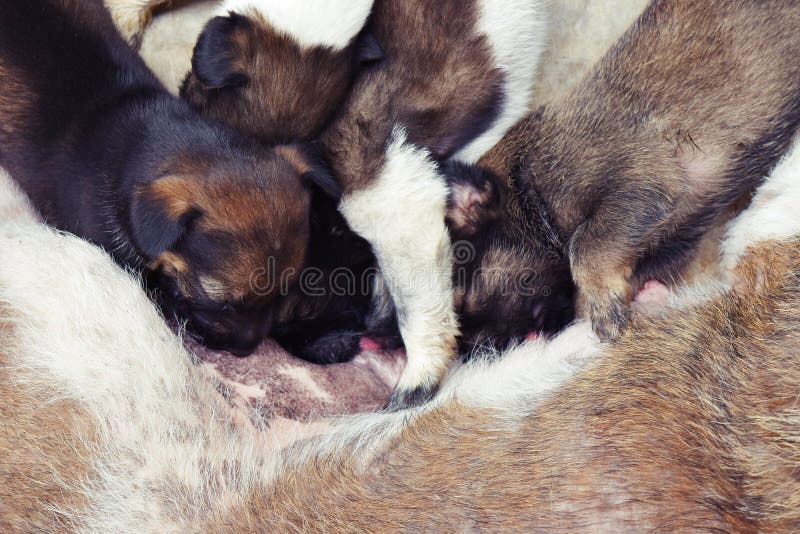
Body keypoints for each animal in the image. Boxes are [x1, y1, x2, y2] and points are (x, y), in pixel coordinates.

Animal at [444, 0, 800, 346]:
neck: (525, 186)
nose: (473, 352)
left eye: (465, 300)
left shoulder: (638, 184)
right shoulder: (670, 240)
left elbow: (585, 245)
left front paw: (601, 304)